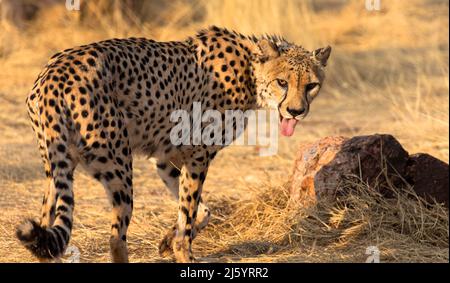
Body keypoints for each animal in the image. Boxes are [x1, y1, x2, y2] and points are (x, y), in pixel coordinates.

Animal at [15, 26, 330, 264]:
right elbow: (189, 210)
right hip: (117, 166)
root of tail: (53, 74)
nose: (296, 111)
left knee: (46, 223)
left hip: (56, 166)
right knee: (115, 238)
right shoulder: (197, 154)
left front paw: (168, 241)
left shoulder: (167, 157)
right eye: (282, 82)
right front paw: (183, 252)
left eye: (311, 85)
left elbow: (200, 210)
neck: (251, 70)